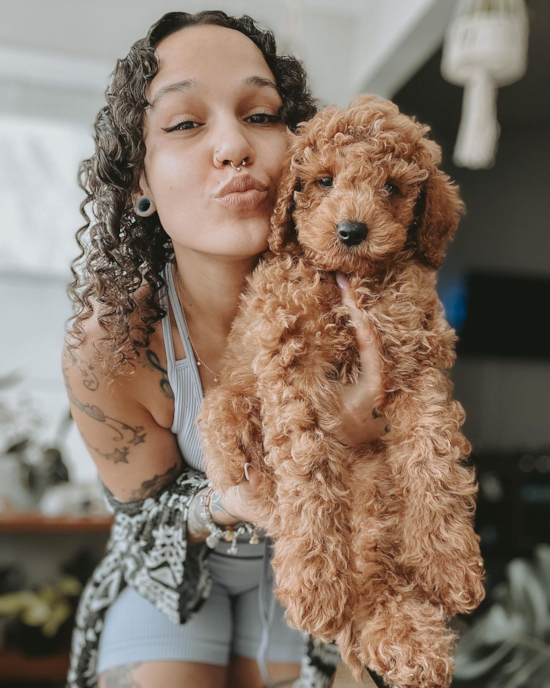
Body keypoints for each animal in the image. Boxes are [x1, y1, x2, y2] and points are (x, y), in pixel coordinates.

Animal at [199, 94, 488, 684]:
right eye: (323, 180)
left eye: (393, 188)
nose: (352, 230)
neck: (350, 281)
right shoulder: (291, 373)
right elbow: (309, 478)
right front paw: (314, 585)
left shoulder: (416, 362)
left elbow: (434, 461)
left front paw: (448, 563)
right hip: (235, 408)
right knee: (231, 424)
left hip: (378, 499)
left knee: (377, 574)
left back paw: (410, 642)